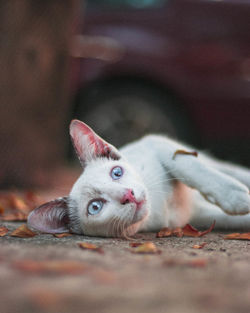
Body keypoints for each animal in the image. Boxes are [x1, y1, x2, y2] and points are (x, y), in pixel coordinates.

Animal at [27, 119, 250, 236]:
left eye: (116, 173)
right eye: (95, 207)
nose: (128, 195)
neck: (160, 207)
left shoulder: (157, 144)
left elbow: (191, 169)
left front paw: (236, 197)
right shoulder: (195, 215)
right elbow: (230, 220)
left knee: (225, 168)